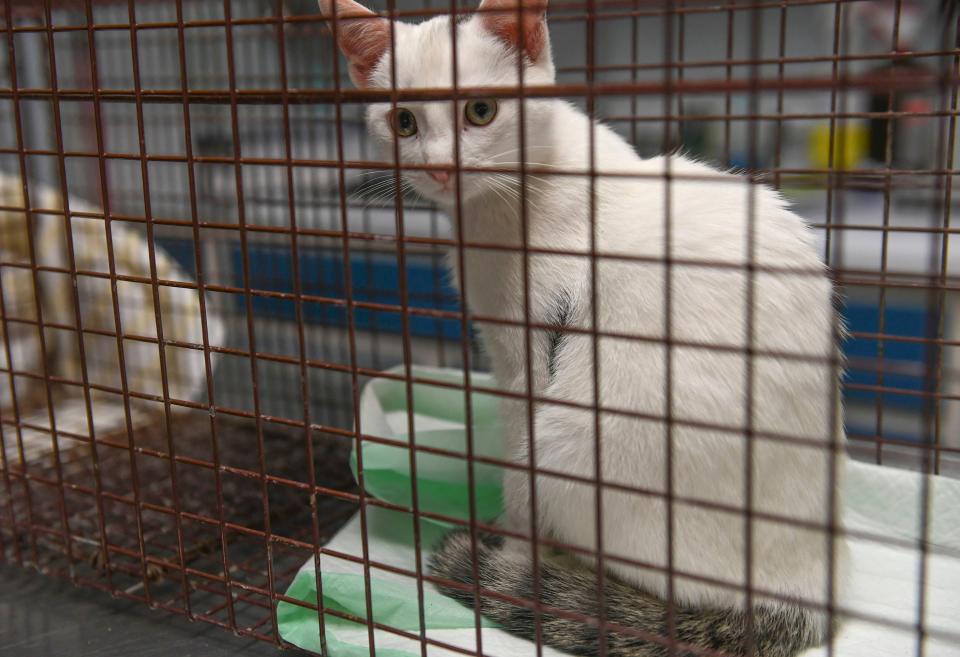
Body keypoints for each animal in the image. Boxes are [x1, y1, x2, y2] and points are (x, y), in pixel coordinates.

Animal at [320, 0, 848, 652]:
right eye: (404, 122)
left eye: (480, 110)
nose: (440, 168)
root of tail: (801, 591)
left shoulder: (529, 345)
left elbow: (517, 474)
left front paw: (514, 552)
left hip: (572, 441)